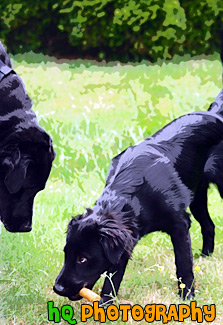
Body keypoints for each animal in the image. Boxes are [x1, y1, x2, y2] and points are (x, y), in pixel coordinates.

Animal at [53, 92, 223, 302]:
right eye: (66, 253)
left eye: (82, 259)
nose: (57, 288)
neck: (132, 197)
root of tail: (215, 114)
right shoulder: (126, 240)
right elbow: (113, 277)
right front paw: (107, 304)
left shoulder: (180, 225)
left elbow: (183, 267)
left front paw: (187, 297)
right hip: (197, 197)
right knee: (209, 225)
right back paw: (205, 256)